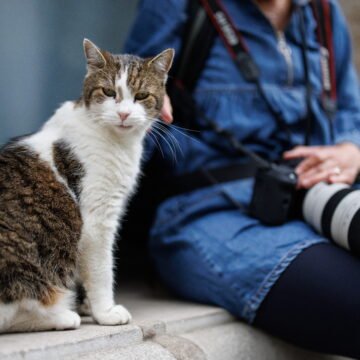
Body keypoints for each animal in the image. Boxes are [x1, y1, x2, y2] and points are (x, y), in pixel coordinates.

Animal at [0, 39, 174, 332]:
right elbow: (102, 271)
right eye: (108, 92)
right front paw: (105, 312)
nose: (124, 113)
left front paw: (88, 305)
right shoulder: (97, 220)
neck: (117, 141)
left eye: (141, 96)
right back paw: (62, 315)